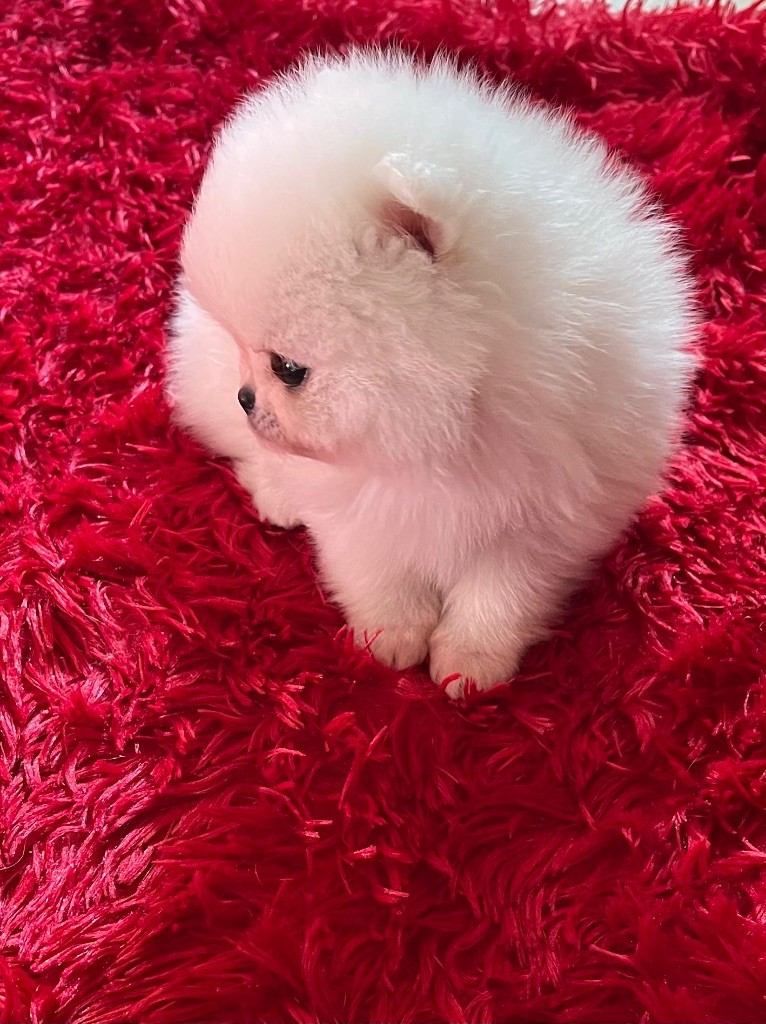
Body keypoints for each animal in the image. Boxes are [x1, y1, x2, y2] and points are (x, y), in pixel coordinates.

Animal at [166, 49, 696, 697]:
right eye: (257, 356)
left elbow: (503, 588)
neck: (452, 429)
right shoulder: (357, 496)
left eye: (288, 370)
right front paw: (392, 633)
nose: (246, 396)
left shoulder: (546, 508)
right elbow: (375, 564)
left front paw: (473, 658)